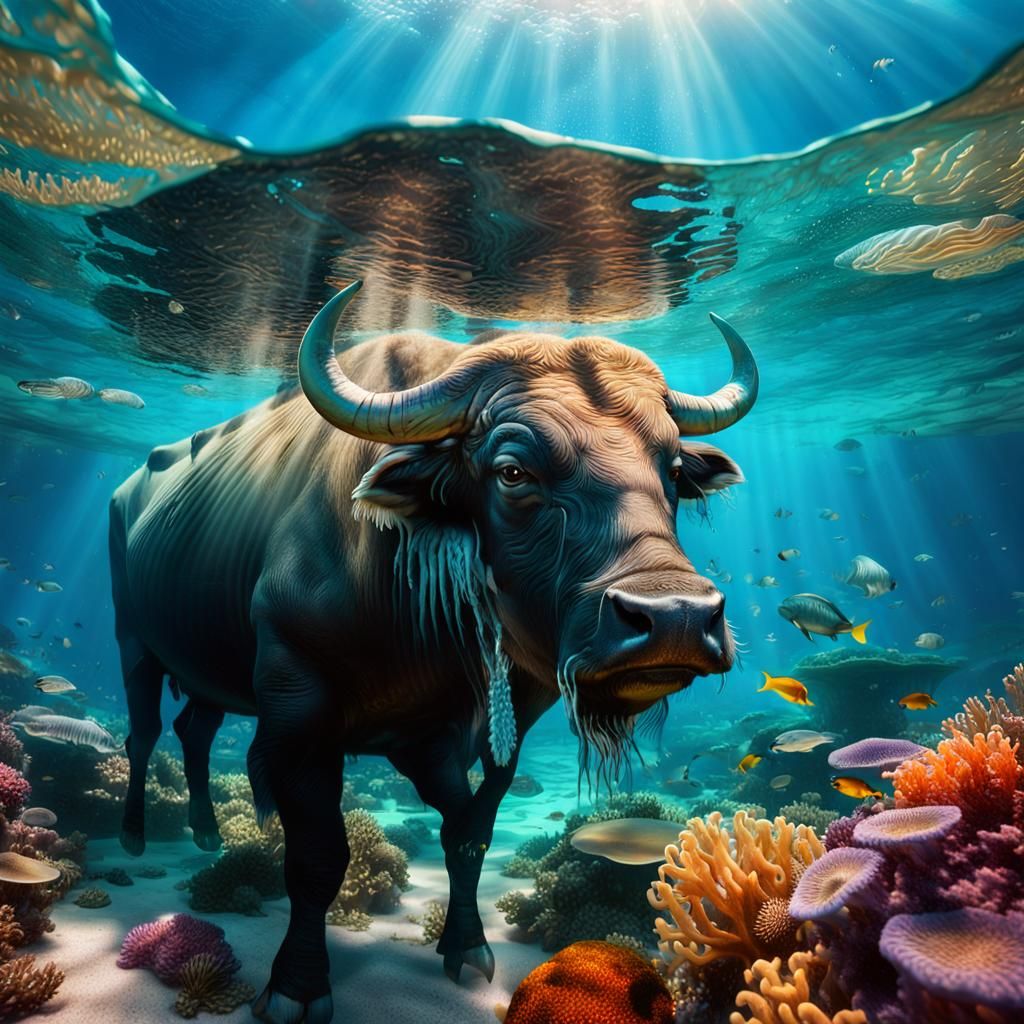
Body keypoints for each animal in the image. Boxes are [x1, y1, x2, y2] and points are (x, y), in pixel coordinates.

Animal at [109, 280, 757, 1022]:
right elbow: (318, 856)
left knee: (194, 729)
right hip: (134, 642)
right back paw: (135, 834)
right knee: (144, 733)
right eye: (512, 470)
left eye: (673, 468)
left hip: (208, 670)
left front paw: (467, 947)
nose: (676, 616)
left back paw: (208, 832)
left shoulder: (489, 722)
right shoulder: (299, 706)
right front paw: (296, 987)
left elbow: (469, 833)